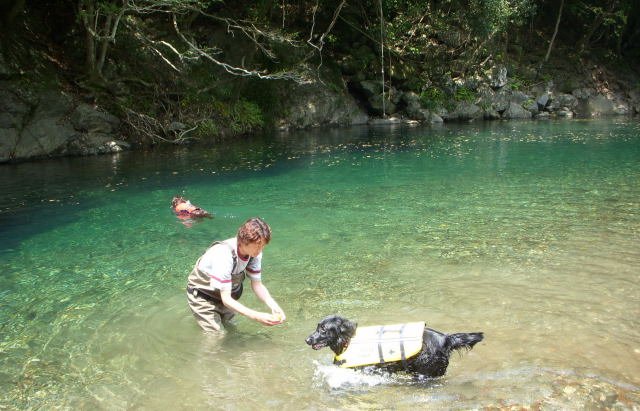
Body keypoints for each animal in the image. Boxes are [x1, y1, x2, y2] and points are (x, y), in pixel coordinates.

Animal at [308, 316, 482, 380]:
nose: (307, 339)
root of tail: (446, 338)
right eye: (317, 327)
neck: (347, 341)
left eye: (323, 329)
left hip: (426, 370)